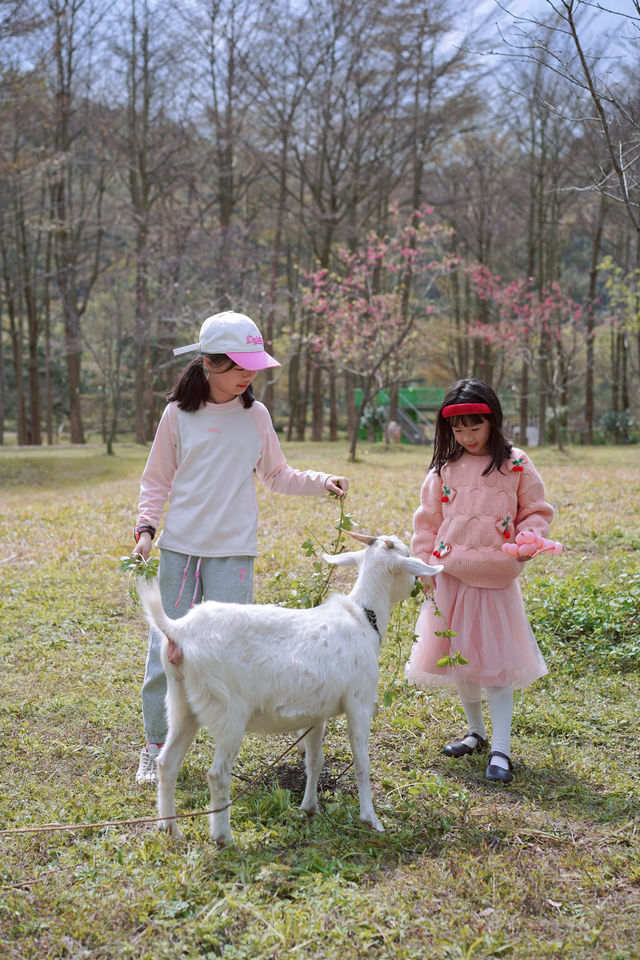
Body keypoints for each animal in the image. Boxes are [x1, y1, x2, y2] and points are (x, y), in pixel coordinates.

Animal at [138, 536, 442, 844]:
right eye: (407, 555)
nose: (419, 586)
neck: (362, 618)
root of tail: (177, 631)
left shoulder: (317, 713)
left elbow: (315, 760)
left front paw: (309, 808)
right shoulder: (359, 703)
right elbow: (362, 762)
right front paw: (371, 819)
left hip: (180, 702)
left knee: (167, 762)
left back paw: (170, 829)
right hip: (228, 711)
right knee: (217, 774)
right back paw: (223, 837)